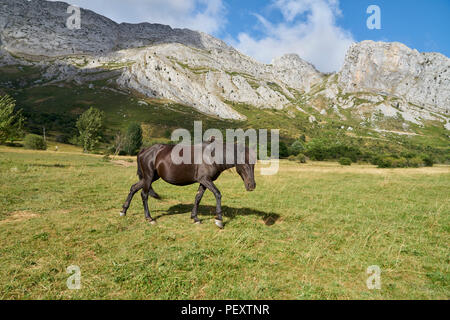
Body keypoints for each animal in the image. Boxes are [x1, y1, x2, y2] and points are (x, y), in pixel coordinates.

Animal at [119, 141, 256, 229]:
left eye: (253, 164)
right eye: (243, 163)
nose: (252, 185)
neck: (211, 157)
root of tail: (145, 150)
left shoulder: (203, 182)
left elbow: (198, 198)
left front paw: (195, 218)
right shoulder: (206, 180)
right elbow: (217, 194)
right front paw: (219, 220)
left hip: (151, 177)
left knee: (133, 188)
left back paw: (123, 211)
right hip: (148, 177)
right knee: (144, 194)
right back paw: (149, 218)